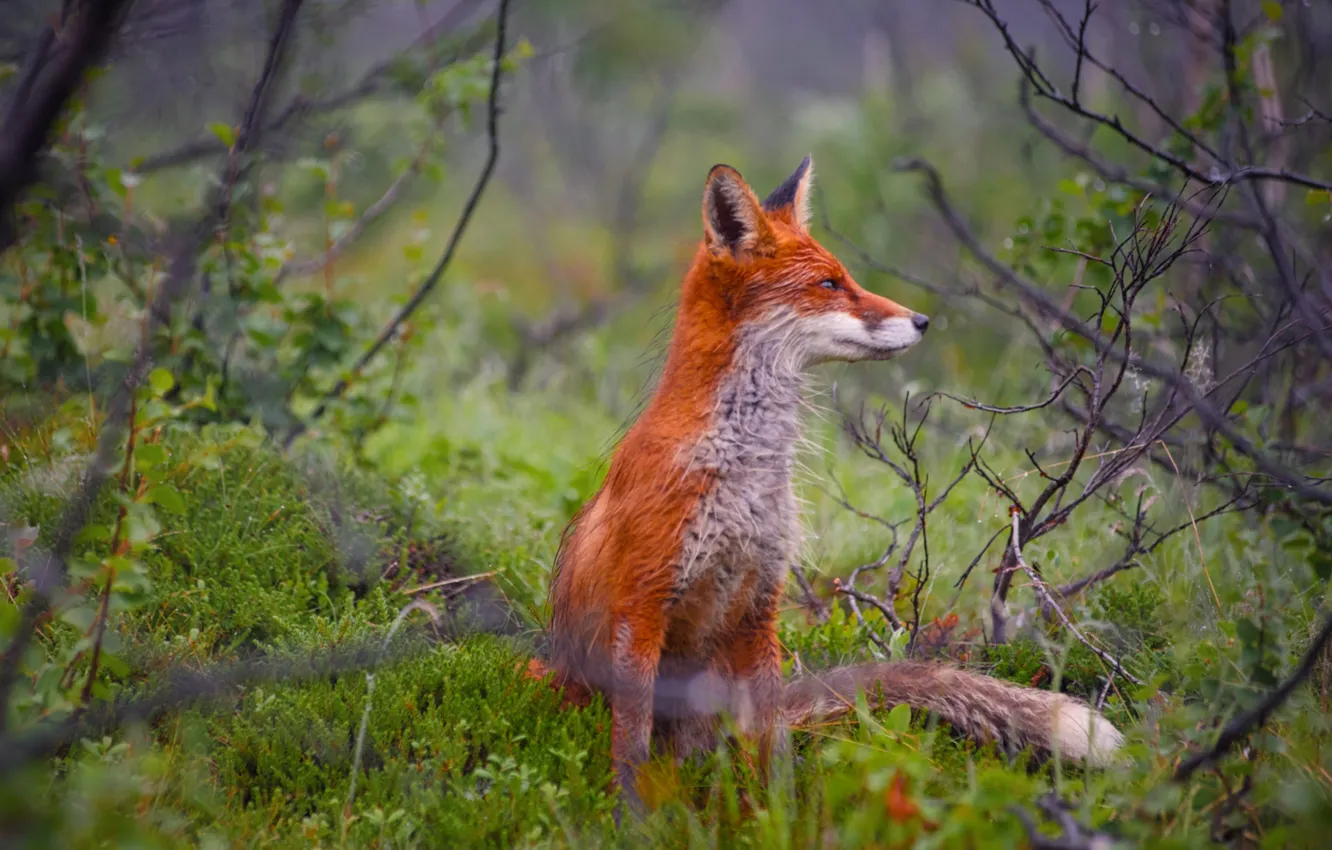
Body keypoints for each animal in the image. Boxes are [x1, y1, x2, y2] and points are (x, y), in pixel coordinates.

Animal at [528, 156, 1124, 811]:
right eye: (830, 284)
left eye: (847, 278)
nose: (923, 320)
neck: (743, 467)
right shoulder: (644, 606)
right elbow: (630, 754)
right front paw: (632, 821)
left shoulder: (759, 607)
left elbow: (776, 750)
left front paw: (779, 818)